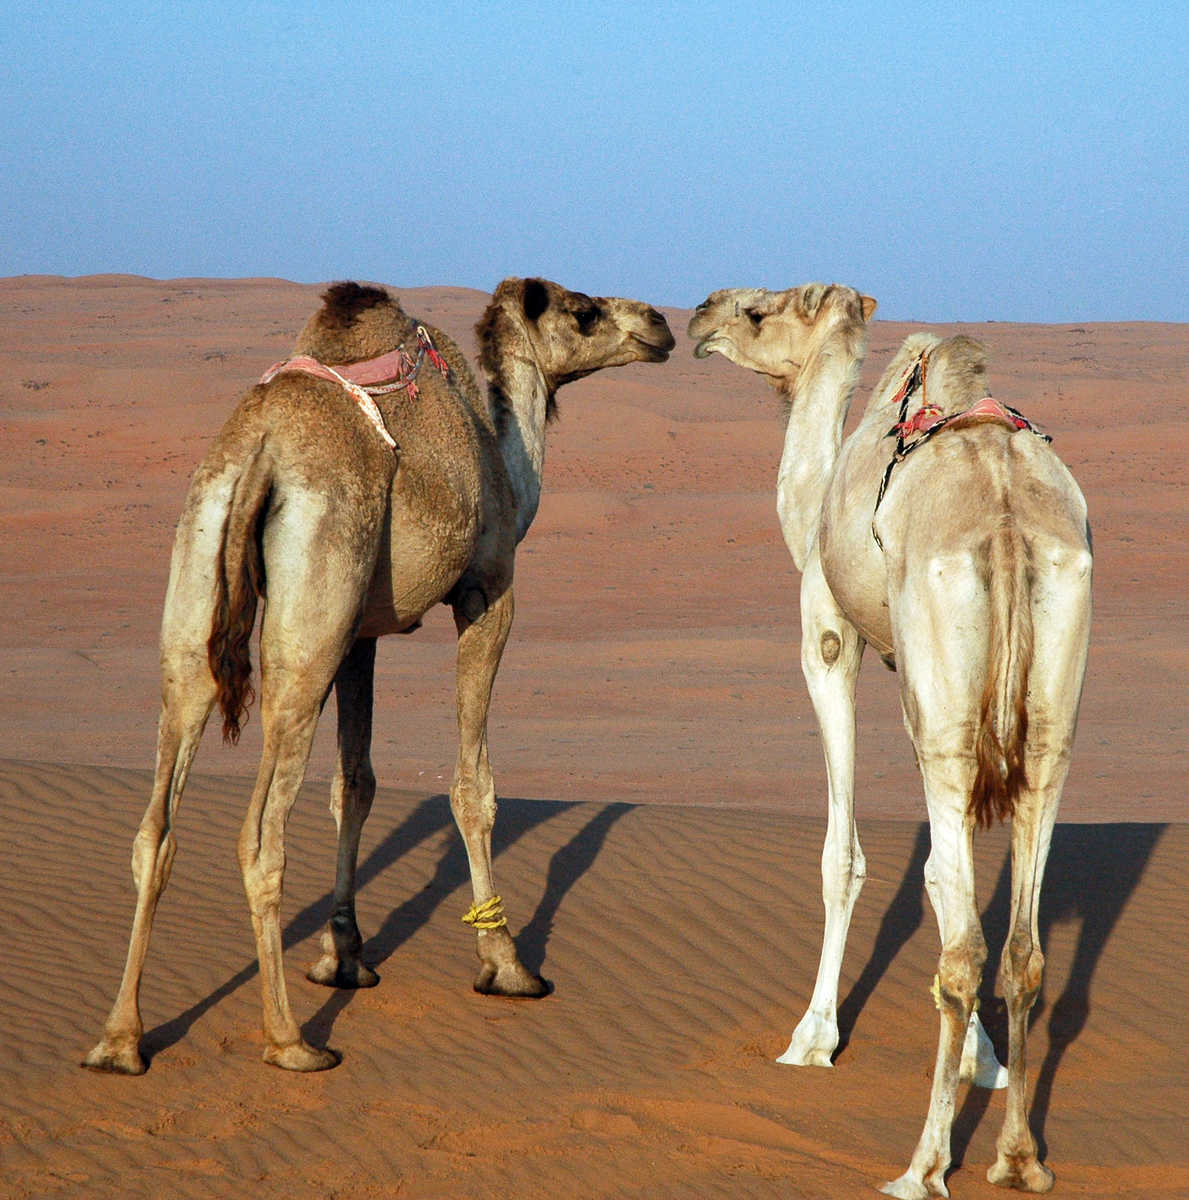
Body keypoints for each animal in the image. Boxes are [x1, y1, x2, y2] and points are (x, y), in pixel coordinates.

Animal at [83, 276, 671, 1075]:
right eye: (582, 310)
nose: (660, 325)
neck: (505, 471)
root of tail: (262, 451)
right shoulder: (489, 593)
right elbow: (472, 788)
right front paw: (507, 965)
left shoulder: (359, 632)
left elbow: (354, 784)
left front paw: (345, 959)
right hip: (311, 608)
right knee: (259, 836)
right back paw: (290, 1041)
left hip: (203, 574)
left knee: (157, 823)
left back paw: (120, 1040)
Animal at [691, 283, 1094, 1200]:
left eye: (761, 310)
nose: (697, 319)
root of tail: (1007, 520)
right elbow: (947, 881)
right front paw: (983, 1062)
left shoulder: (829, 638)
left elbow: (849, 858)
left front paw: (811, 1039)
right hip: (1049, 706)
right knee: (1020, 947)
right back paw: (1017, 1158)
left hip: (940, 706)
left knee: (967, 942)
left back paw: (922, 1165)